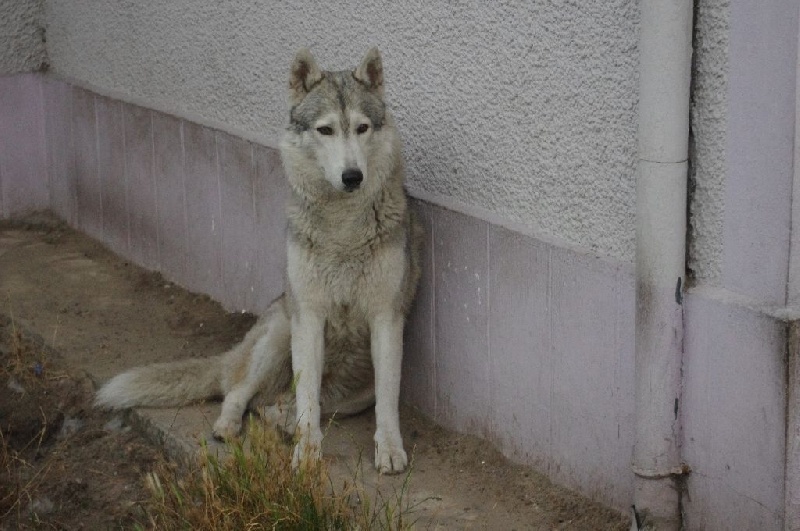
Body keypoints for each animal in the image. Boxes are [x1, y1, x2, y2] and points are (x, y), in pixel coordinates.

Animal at [95, 47, 422, 474]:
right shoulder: (308, 317)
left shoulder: (385, 318)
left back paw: (277, 418)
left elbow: (385, 401)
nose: (353, 176)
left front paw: (389, 450)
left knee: (278, 403)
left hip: (351, 390)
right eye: (326, 130)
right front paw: (306, 456)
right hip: (281, 331)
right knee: (238, 392)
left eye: (362, 128)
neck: (343, 230)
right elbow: (307, 403)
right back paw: (229, 427)